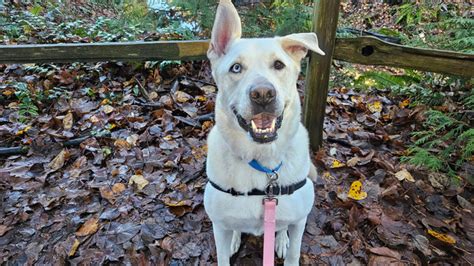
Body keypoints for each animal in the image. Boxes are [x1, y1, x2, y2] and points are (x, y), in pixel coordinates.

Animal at [204, 1, 326, 264]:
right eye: (236, 68)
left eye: (278, 65)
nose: (263, 95)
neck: (260, 160)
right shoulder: (218, 225)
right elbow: (222, 255)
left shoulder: (299, 221)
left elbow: (293, 253)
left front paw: (283, 244)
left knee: (282, 227)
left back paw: (280, 239)